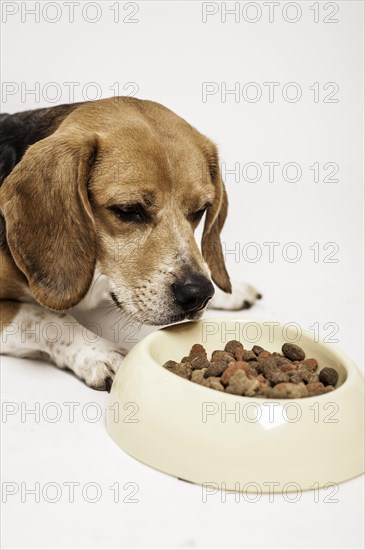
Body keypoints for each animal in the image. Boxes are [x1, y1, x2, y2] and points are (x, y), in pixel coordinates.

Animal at [1, 99, 260, 392]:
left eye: (200, 210)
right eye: (128, 210)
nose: (198, 293)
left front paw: (228, 289)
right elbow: (44, 317)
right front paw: (100, 353)